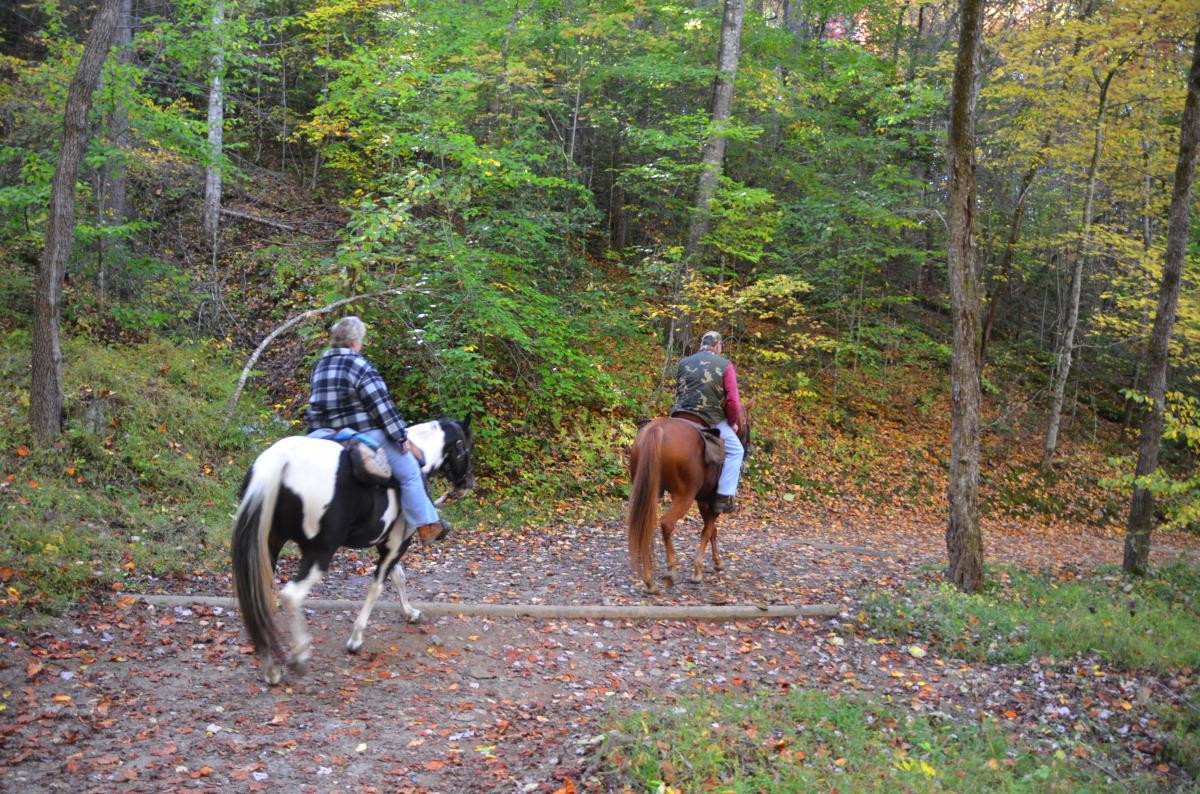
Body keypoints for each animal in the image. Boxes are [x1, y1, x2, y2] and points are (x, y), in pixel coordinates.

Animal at [229, 417, 472, 686]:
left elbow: (398, 577)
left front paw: (410, 613)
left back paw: (271, 669)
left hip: (269, 547)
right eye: (464, 447)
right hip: (319, 553)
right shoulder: (397, 543)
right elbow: (378, 586)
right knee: (291, 595)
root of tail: (280, 460)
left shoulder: (385, 543)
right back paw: (300, 655)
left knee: (260, 598)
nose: (467, 483)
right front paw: (356, 639)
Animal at [628, 400, 748, 594]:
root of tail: (657, 429)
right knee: (666, 524)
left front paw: (717, 562)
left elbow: (712, 531)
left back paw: (649, 581)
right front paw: (698, 571)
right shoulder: (712, 502)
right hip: (684, 496)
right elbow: (707, 531)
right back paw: (670, 571)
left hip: (649, 492)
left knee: (645, 527)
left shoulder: (703, 501)